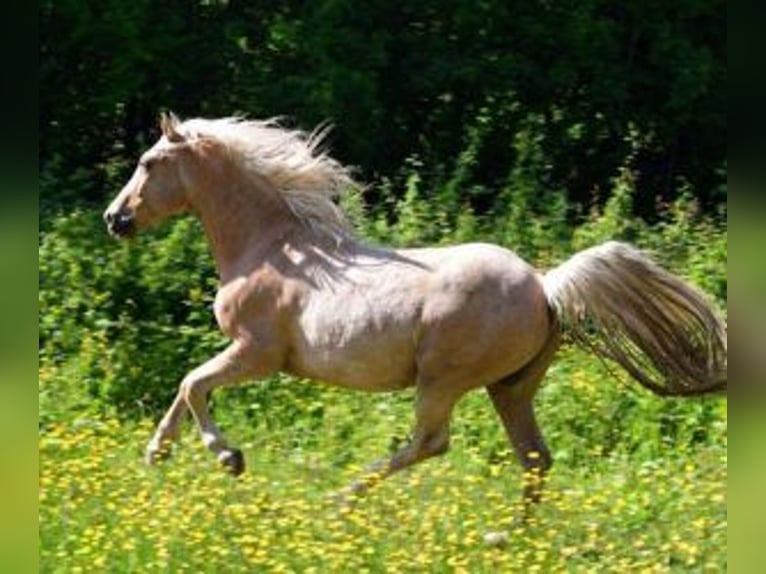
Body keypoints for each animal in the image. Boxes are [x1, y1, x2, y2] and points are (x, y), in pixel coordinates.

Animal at [104, 112, 727, 510]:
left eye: (148, 162)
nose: (115, 218)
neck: (273, 249)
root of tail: (546, 287)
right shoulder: (247, 353)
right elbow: (186, 389)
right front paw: (156, 454)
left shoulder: (259, 353)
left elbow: (192, 384)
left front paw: (228, 457)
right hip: (511, 388)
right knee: (535, 457)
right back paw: (510, 539)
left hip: (444, 380)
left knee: (431, 443)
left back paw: (341, 498)